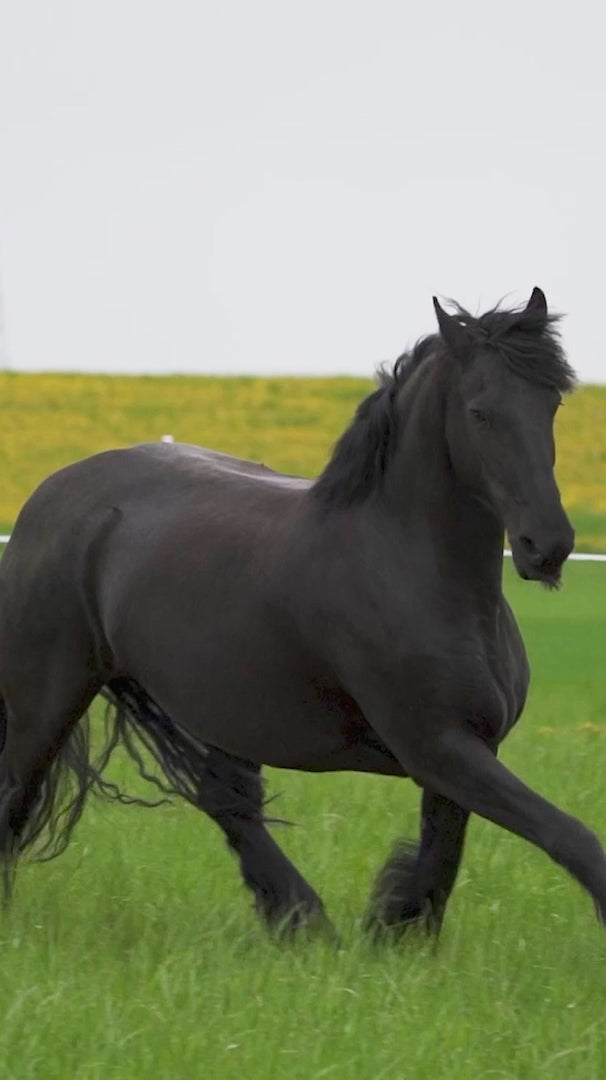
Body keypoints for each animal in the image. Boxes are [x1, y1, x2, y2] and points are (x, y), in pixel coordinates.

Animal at [0, 286, 603, 941]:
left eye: (552, 403)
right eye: (480, 412)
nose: (548, 546)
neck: (407, 566)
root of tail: (48, 495)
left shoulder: (464, 754)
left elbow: (439, 860)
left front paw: (392, 935)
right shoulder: (439, 746)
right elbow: (571, 838)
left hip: (219, 706)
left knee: (226, 801)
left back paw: (302, 921)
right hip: (47, 700)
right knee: (16, 794)